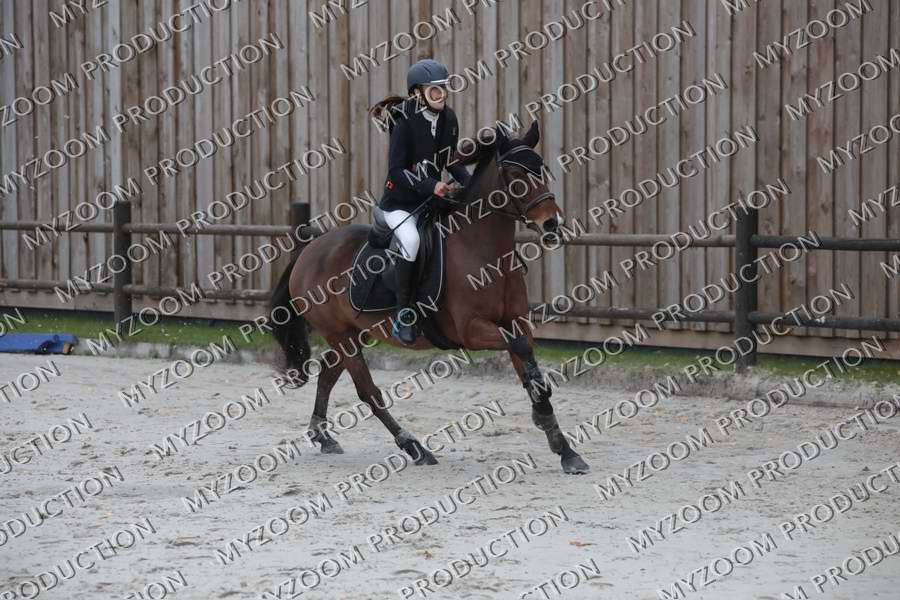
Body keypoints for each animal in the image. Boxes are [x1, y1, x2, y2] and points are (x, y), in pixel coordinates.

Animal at [269, 121, 590, 474]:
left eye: (542, 169)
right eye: (516, 175)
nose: (551, 223)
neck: (484, 251)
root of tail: (310, 249)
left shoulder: (515, 322)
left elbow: (527, 356)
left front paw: (564, 449)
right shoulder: (472, 330)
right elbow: (520, 350)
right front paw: (542, 413)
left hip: (355, 333)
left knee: (327, 373)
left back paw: (323, 437)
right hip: (341, 335)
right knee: (368, 392)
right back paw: (413, 447)